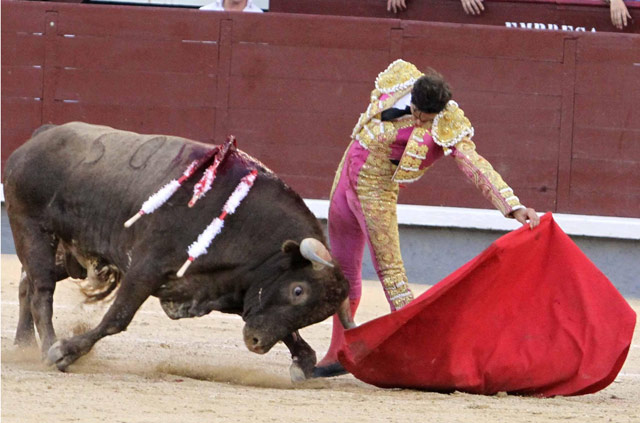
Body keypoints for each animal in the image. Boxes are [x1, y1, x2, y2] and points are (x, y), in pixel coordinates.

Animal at [2, 121, 352, 380]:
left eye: (316, 314)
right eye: (298, 290)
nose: (255, 343)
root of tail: (42, 134)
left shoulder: (232, 289)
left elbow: (289, 334)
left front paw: (303, 362)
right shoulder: (146, 268)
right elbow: (117, 317)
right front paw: (65, 352)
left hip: (67, 254)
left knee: (27, 283)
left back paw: (24, 344)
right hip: (31, 228)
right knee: (41, 289)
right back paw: (46, 346)